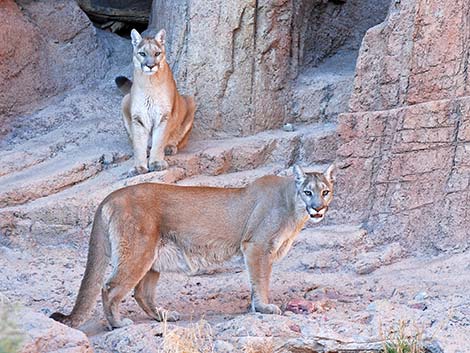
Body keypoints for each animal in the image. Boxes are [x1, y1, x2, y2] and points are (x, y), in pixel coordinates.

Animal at [50, 164, 334, 328]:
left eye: (325, 192)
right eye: (308, 192)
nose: (318, 208)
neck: (292, 205)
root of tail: (109, 196)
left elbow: (256, 282)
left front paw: (255, 306)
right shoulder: (256, 247)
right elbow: (261, 280)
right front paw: (265, 308)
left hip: (152, 257)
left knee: (141, 293)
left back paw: (163, 316)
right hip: (138, 252)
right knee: (110, 288)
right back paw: (119, 323)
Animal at [116, 28, 196, 176]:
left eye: (157, 53)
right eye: (142, 54)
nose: (150, 65)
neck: (150, 83)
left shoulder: (163, 116)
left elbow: (159, 141)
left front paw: (156, 163)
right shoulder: (139, 117)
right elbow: (138, 144)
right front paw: (139, 167)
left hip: (191, 100)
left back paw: (169, 147)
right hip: (125, 100)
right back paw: (148, 149)